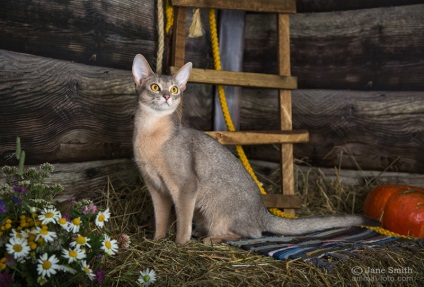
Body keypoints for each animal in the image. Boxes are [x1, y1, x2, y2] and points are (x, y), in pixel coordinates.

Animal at [131, 54, 380, 245]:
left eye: (174, 89)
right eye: (155, 86)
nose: (166, 96)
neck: (151, 133)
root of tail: (263, 212)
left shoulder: (186, 186)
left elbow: (183, 221)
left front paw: (180, 244)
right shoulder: (155, 187)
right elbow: (161, 218)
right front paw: (157, 240)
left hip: (216, 209)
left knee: (251, 233)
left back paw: (212, 237)